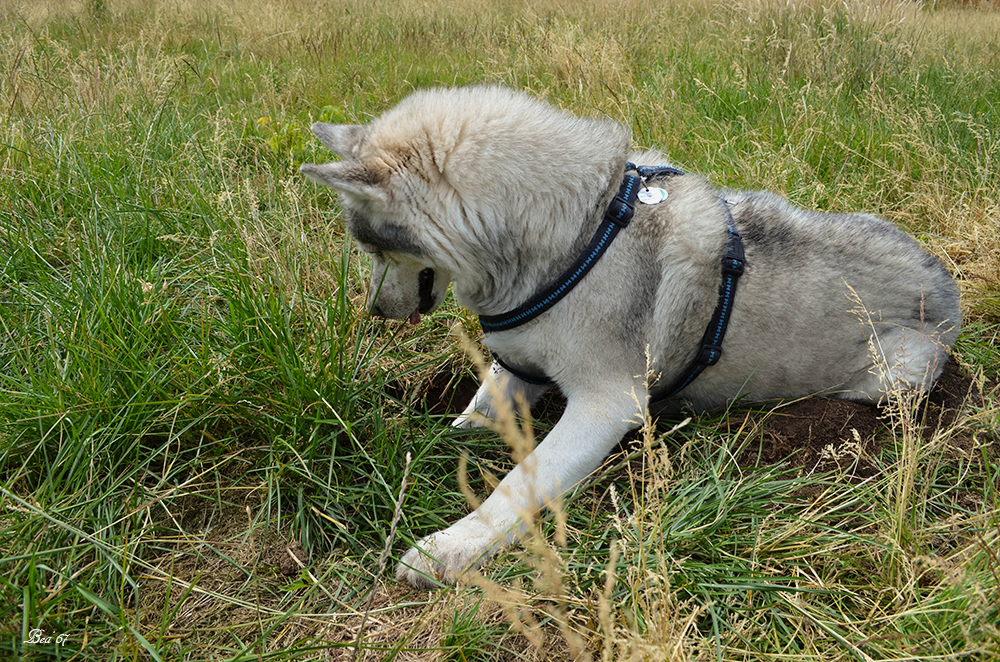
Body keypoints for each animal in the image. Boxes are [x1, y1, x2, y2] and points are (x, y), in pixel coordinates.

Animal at [302, 85, 960, 588]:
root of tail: (946, 280)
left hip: (895, 375)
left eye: (371, 246)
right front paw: (438, 440)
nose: (376, 311)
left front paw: (452, 546)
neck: (578, 232)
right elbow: (475, 415)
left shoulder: (604, 404)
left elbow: (519, 482)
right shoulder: (517, 371)